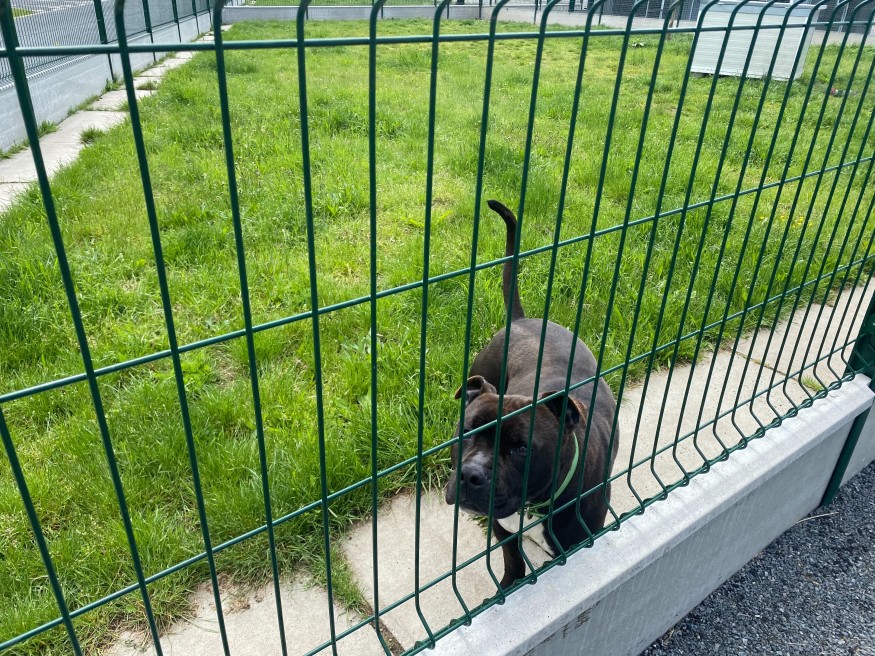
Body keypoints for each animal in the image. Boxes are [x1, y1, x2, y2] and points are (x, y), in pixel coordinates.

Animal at [444, 200, 619, 589]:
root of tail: (520, 321)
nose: (470, 475)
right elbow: (513, 559)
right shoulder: (502, 528)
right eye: (466, 432)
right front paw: (508, 587)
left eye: (522, 448)